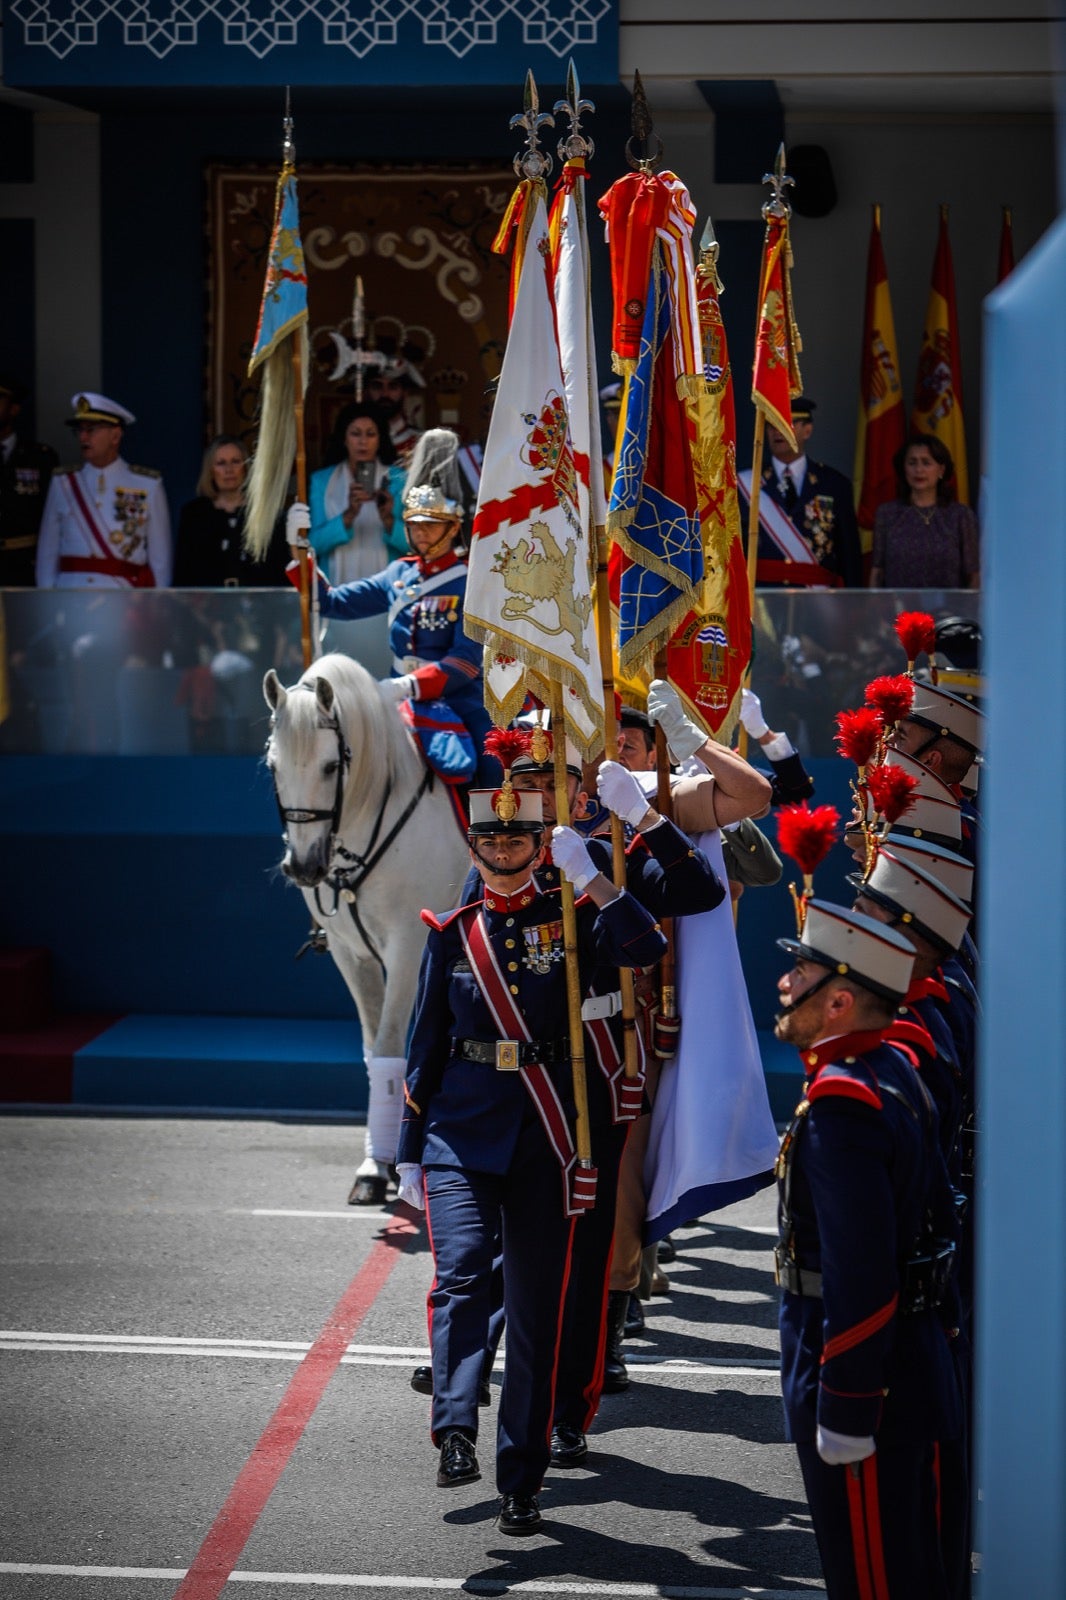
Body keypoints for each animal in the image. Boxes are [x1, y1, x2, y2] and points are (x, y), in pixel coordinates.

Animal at [264, 649, 467, 1203]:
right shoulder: (349, 952)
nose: (303, 867)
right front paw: (378, 1163)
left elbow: (391, 1048)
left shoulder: (408, 946)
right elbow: (373, 1050)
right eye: (273, 767)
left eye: (332, 765)